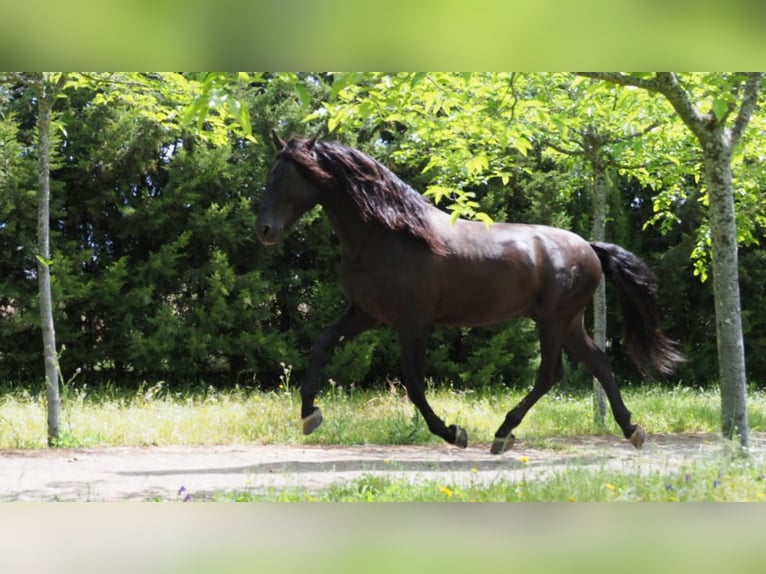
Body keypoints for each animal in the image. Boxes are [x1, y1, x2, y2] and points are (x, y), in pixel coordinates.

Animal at [256, 135, 684, 454]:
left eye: (288, 173)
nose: (264, 230)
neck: (389, 234)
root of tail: (590, 248)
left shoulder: (413, 323)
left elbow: (414, 384)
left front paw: (453, 433)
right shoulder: (365, 313)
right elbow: (321, 346)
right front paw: (310, 415)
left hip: (555, 321)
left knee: (551, 373)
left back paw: (503, 433)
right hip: (568, 323)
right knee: (597, 363)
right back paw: (630, 429)